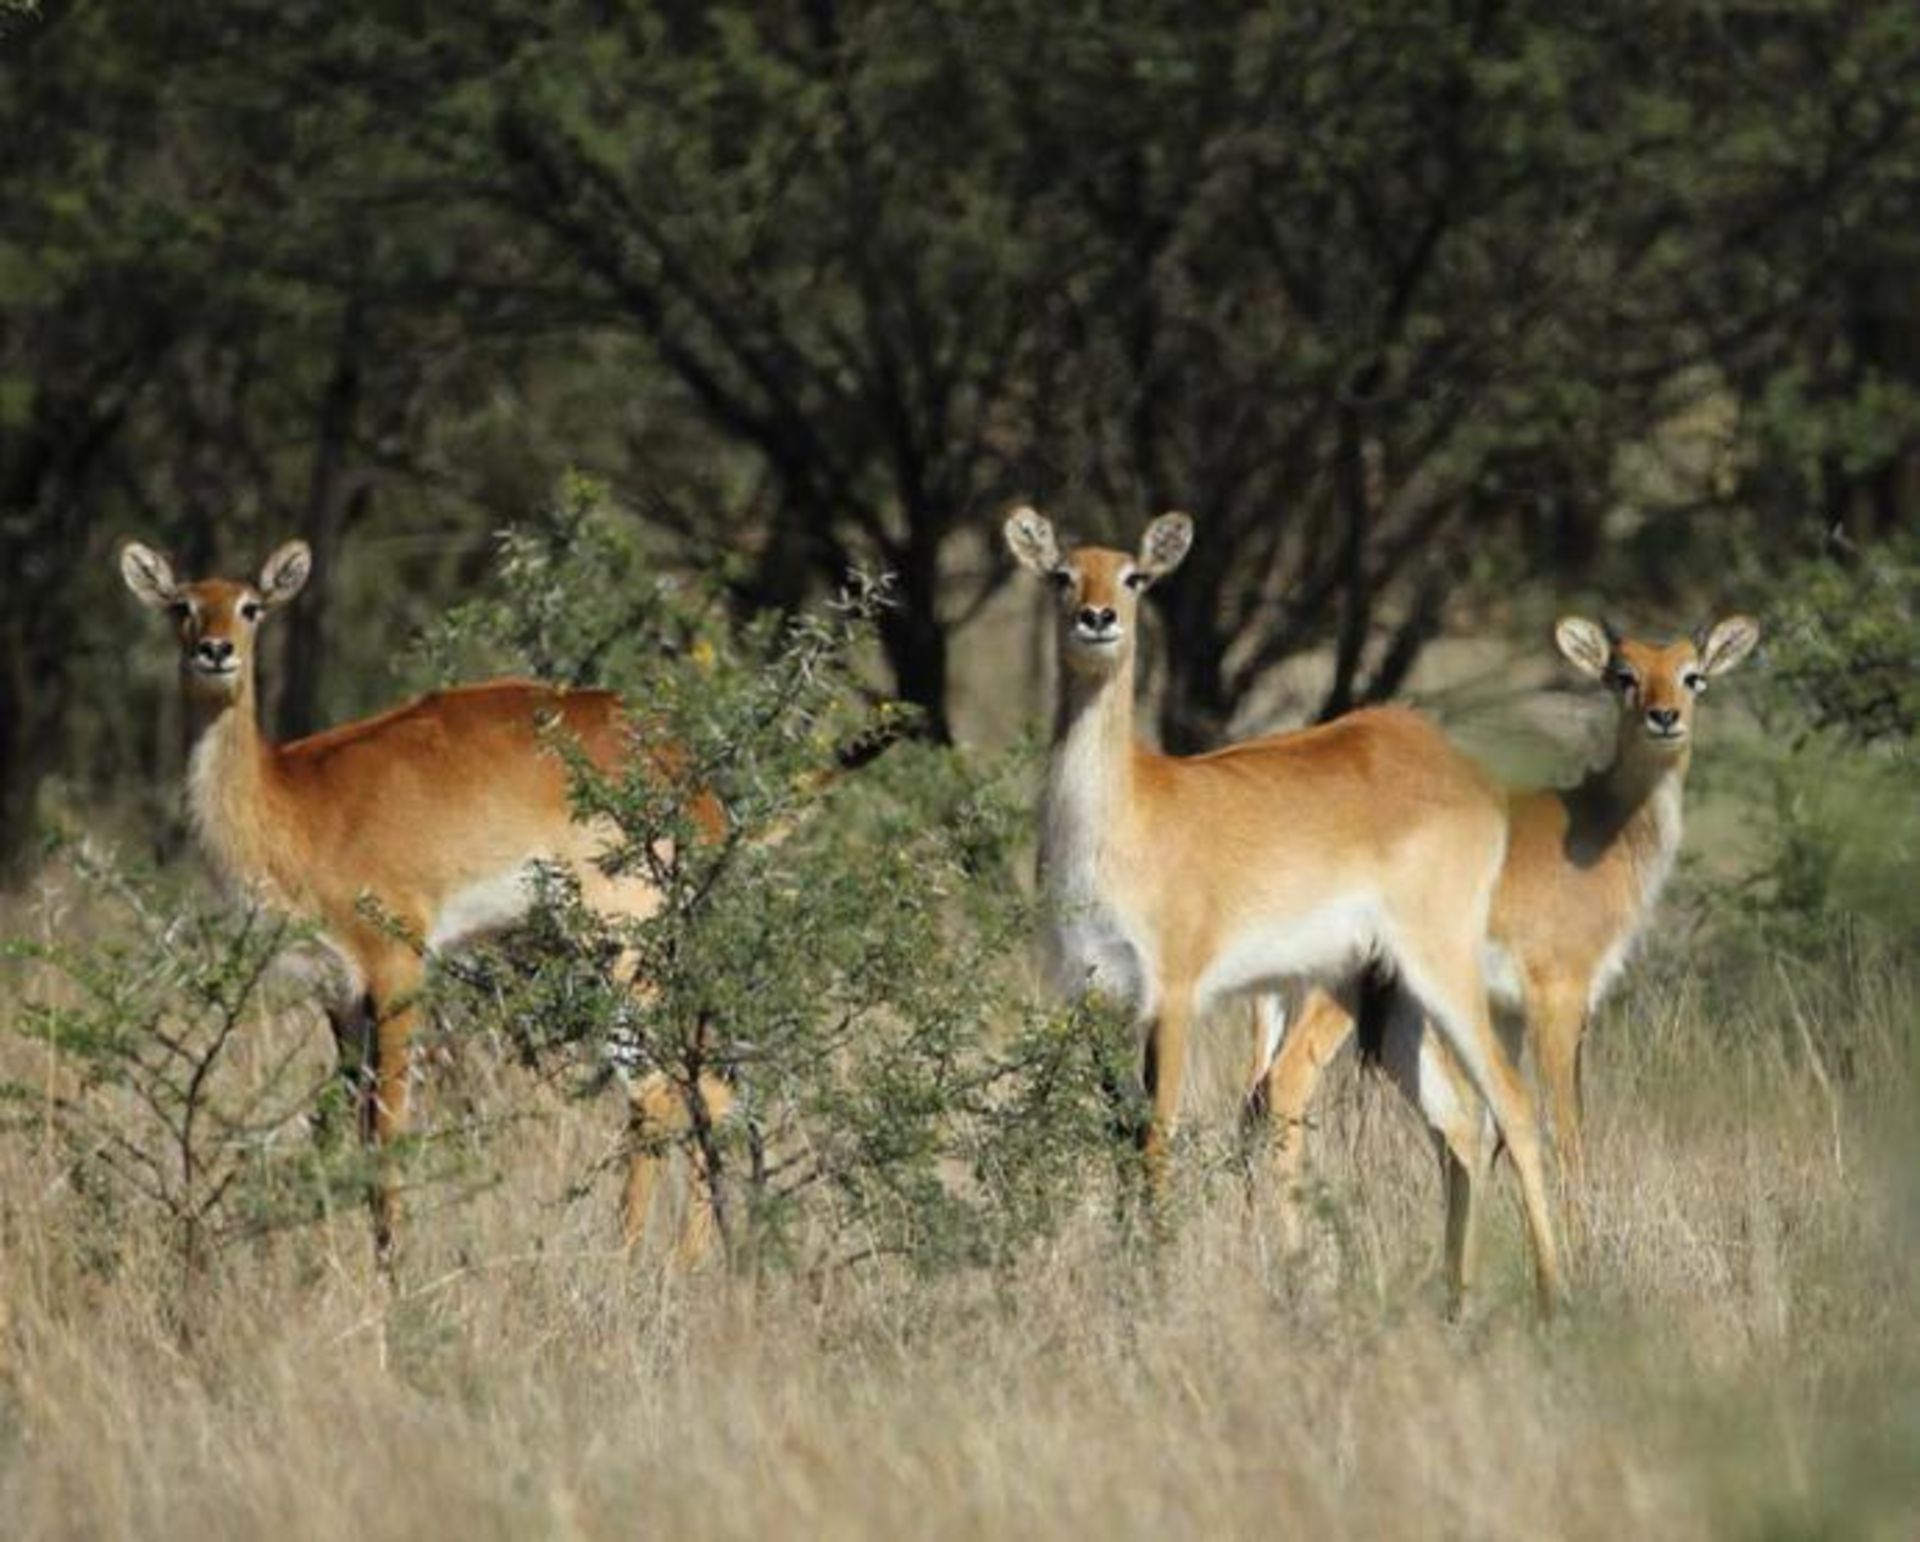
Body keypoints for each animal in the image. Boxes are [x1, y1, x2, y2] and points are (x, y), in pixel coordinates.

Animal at [120, 537, 729, 1259]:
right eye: (181, 605)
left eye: (251, 606)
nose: (214, 651)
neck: (291, 803)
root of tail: (694, 784)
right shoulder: (340, 993)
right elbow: (352, 1131)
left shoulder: (399, 967)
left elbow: (388, 1130)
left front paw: (393, 1271)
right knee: (708, 1089)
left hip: (620, 949)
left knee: (656, 1090)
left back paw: (631, 1259)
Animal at [1006, 510, 1559, 1305]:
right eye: (1061, 573)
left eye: (1135, 576)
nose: (1097, 617)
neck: (1121, 822)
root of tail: (1462, 769)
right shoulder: (1093, 998)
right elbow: (1119, 1134)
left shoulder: (1173, 998)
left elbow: (1157, 1136)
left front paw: (1159, 1285)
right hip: (1392, 1004)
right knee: (1457, 1124)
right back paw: (1455, 1299)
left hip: (1438, 970)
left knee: (1510, 1103)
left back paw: (1553, 1299)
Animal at [1251, 610, 1758, 1267]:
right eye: (1623, 675)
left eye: (1692, 675)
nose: (1664, 716)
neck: (1600, 831)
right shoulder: (1558, 1003)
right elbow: (1565, 1129)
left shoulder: (1506, 1015)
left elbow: (1489, 1130)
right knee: (1284, 1088)